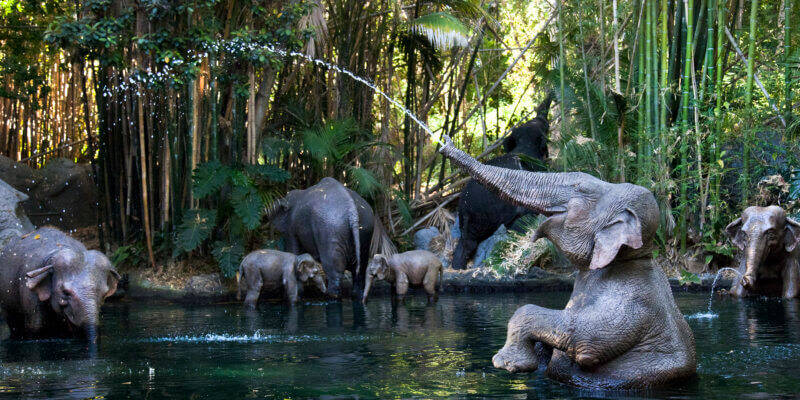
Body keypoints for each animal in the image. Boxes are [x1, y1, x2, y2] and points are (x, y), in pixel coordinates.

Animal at [266, 178, 394, 300]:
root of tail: (352, 211)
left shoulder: (291, 229)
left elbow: (293, 251)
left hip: (331, 229)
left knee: (334, 270)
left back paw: (331, 297)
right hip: (365, 227)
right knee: (360, 268)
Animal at [438, 140, 692, 388]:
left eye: (579, 188)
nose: (444, 144)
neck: (635, 257)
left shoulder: (631, 301)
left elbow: (585, 342)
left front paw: (507, 363)